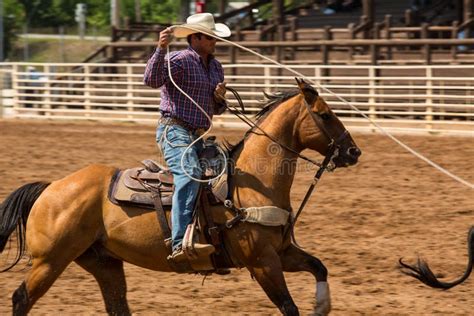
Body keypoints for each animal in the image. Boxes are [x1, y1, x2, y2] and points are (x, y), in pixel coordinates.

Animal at [1, 79, 362, 314]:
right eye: (326, 115)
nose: (353, 152)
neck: (250, 184)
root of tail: (51, 187)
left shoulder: (282, 253)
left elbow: (319, 267)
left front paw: (323, 305)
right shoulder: (262, 262)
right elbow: (289, 307)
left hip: (104, 262)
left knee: (117, 306)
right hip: (51, 260)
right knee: (21, 297)